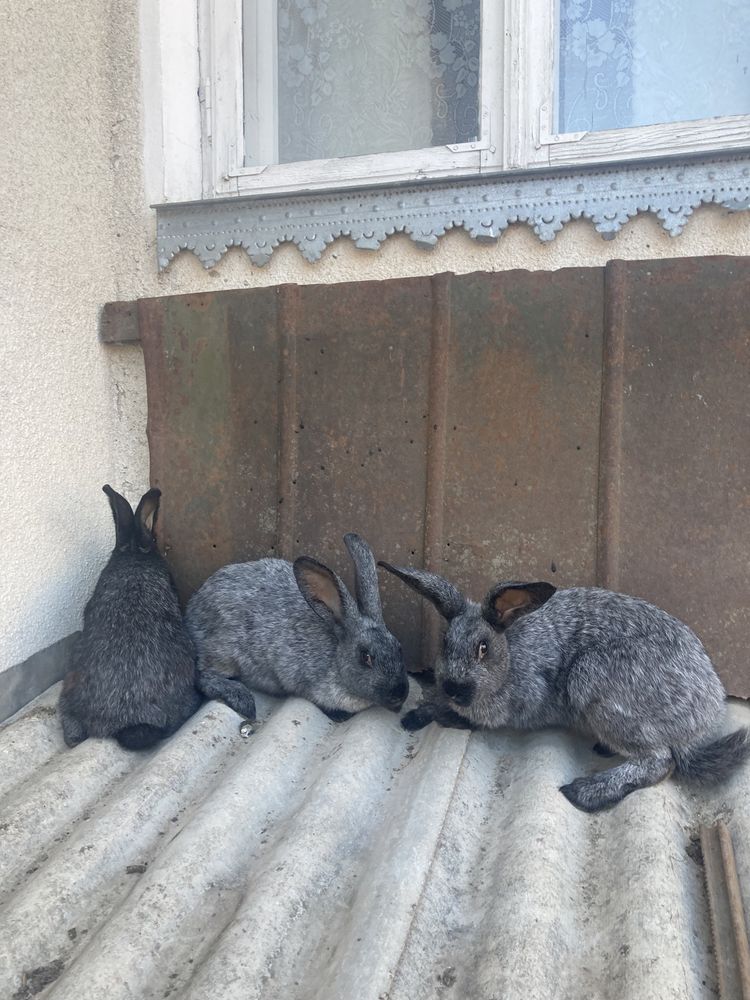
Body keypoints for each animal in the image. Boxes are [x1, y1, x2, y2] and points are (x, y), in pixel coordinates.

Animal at [187, 532, 412, 720]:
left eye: (400, 648)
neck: (336, 657)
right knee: (202, 676)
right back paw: (241, 698)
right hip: (222, 653)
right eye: (366, 657)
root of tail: (193, 608)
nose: (400, 694)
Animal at [382, 564, 750, 812]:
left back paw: (586, 792)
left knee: (660, 760)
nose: (454, 688)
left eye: (483, 649)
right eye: (445, 643)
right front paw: (417, 714)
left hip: (592, 679)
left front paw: (433, 715)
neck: (510, 657)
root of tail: (707, 714)